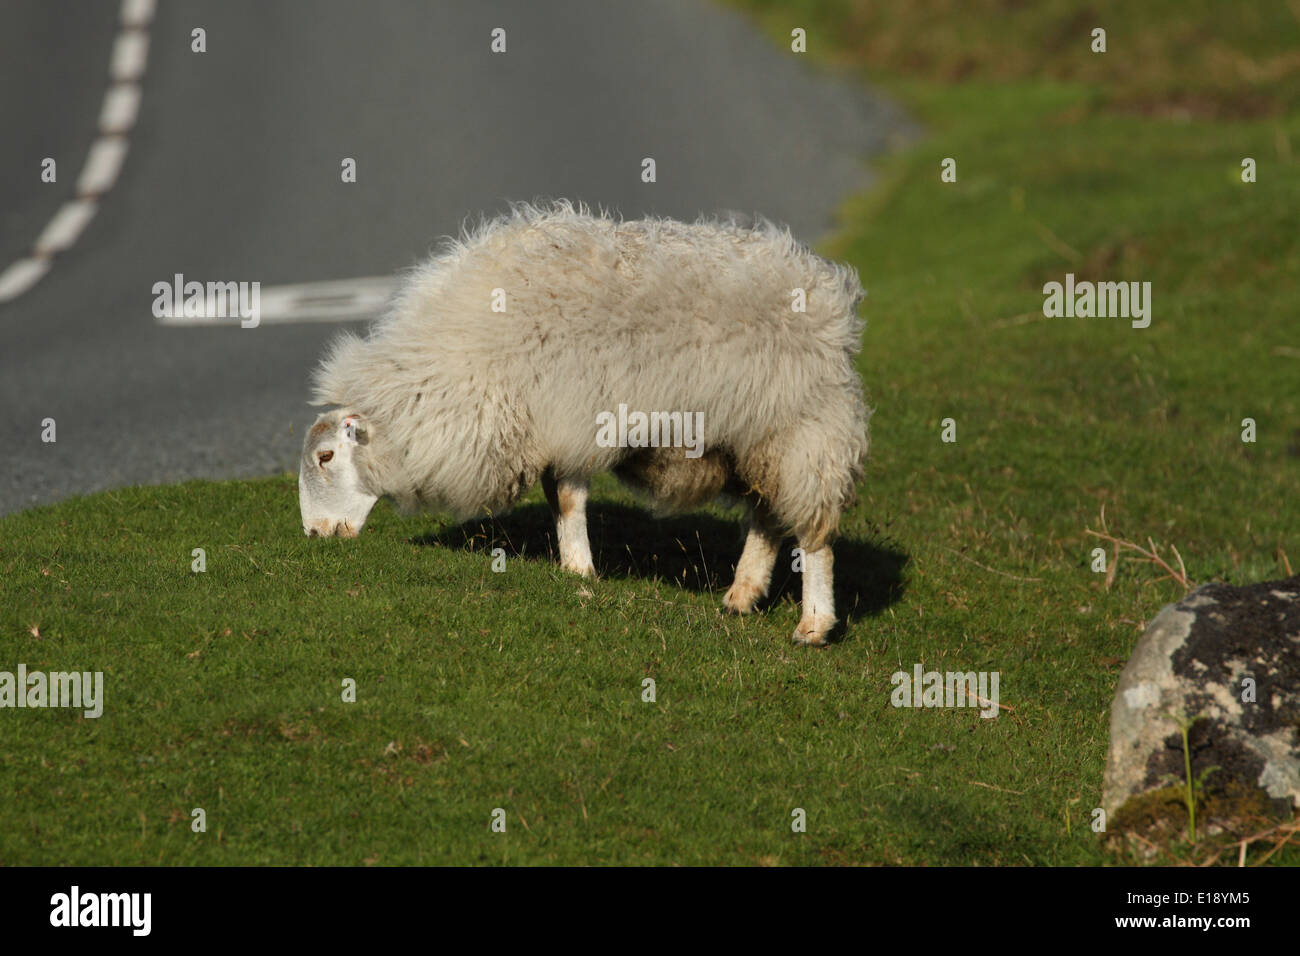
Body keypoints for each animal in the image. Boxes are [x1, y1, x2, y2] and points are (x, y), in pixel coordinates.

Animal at [301, 201, 873, 642]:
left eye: (325, 457)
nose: (313, 534)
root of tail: (831, 295)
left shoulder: (568, 416)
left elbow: (569, 498)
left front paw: (579, 568)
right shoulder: (552, 426)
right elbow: (560, 498)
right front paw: (574, 565)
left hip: (805, 429)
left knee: (814, 533)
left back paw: (813, 625)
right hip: (757, 440)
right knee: (767, 517)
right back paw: (742, 593)